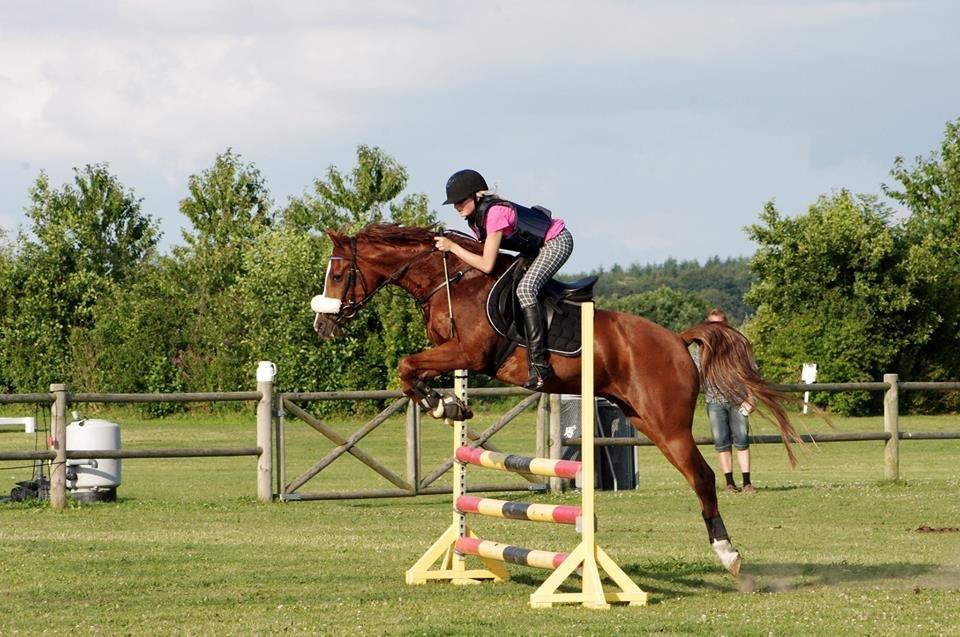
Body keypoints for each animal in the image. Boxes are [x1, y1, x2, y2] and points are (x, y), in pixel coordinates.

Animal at [312, 222, 800, 576]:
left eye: (337, 275)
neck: (450, 281)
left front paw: (442, 405)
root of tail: (678, 341)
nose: (322, 327)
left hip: (668, 424)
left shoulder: (469, 353)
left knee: (702, 476)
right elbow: (410, 372)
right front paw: (451, 405)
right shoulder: (453, 355)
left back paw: (728, 554)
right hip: (644, 419)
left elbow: (405, 365)